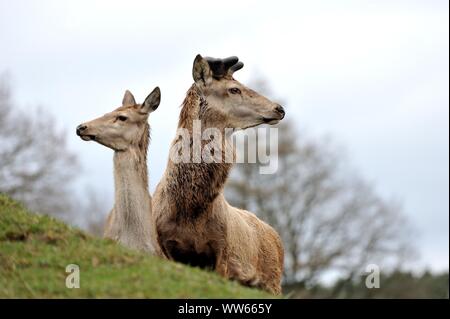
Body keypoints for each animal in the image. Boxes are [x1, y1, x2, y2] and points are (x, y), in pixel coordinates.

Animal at [151, 55, 284, 296]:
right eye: (234, 89)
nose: (279, 108)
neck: (190, 213)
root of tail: (276, 237)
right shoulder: (163, 246)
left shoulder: (222, 252)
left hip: (273, 282)